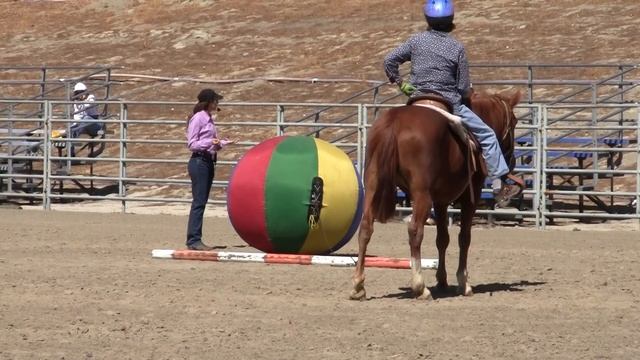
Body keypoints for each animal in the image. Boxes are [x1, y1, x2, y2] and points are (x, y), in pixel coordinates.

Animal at [350, 90, 520, 300]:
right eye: (515, 122)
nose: (512, 161)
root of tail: (395, 122)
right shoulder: (470, 198)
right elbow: (464, 238)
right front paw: (463, 283)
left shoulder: (440, 201)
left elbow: (442, 239)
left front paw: (442, 280)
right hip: (421, 195)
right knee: (415, 230)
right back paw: (420, 287)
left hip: (373, 184)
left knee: (366, 227)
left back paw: (358, 286)